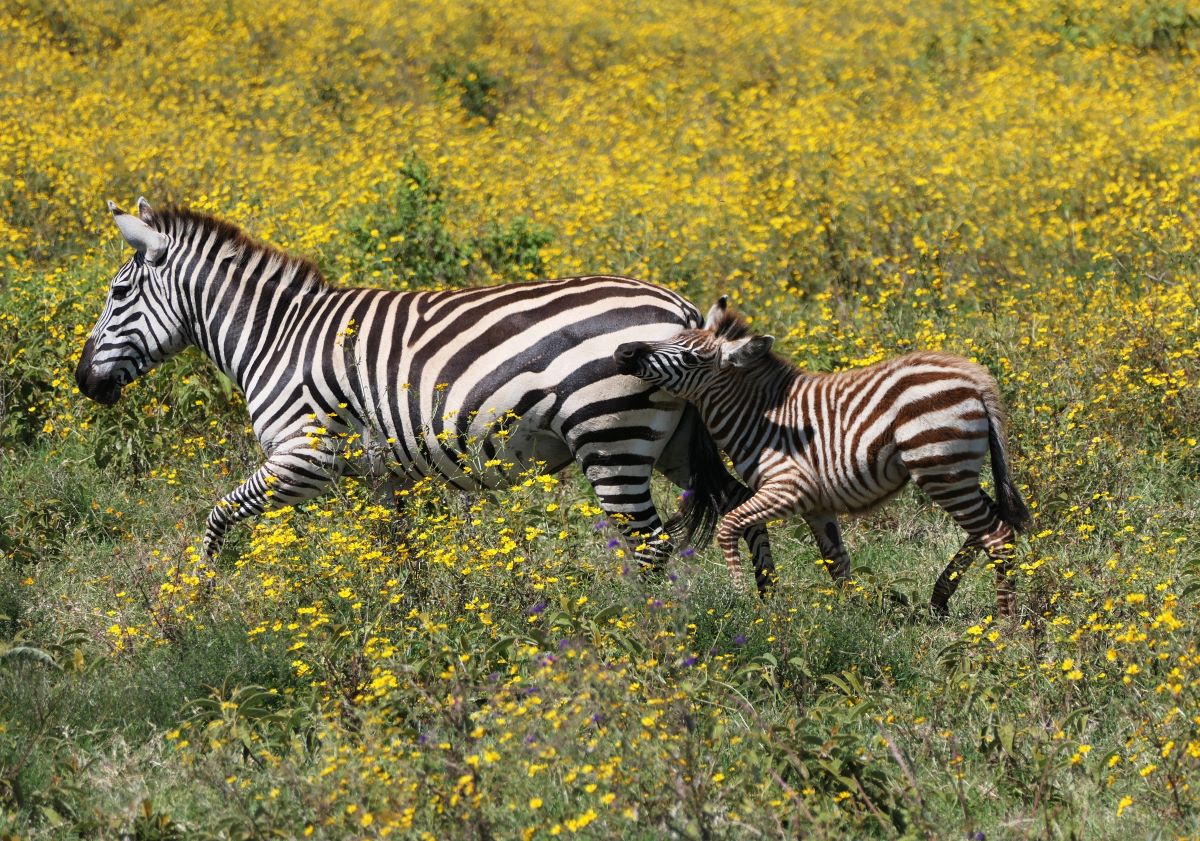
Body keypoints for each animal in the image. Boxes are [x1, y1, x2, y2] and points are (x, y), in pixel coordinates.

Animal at [619, 298, 1032, 614]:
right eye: (674, 338)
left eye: (690, 358)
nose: (624, 351)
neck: (758, 416)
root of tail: (975, 378)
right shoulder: (816, 505)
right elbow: (838, 563)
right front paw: (851, 622)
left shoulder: (789, 488)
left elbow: (729, 526)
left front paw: (739, 598)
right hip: (955, 471)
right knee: (992, 524)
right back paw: (940, 600)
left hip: (940, 469)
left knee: (997, 535)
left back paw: (1005, 624)